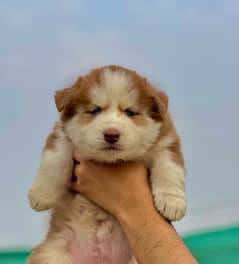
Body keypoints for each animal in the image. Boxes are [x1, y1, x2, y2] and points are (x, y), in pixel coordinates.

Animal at [27, 65, 185, 262]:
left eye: (130, 112)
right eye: (95, 110)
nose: (111, 134)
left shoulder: (167, 142)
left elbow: (169, 168)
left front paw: (172, 203)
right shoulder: (61, 134)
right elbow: (55, 157)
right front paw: (42, 195)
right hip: (50, 253)